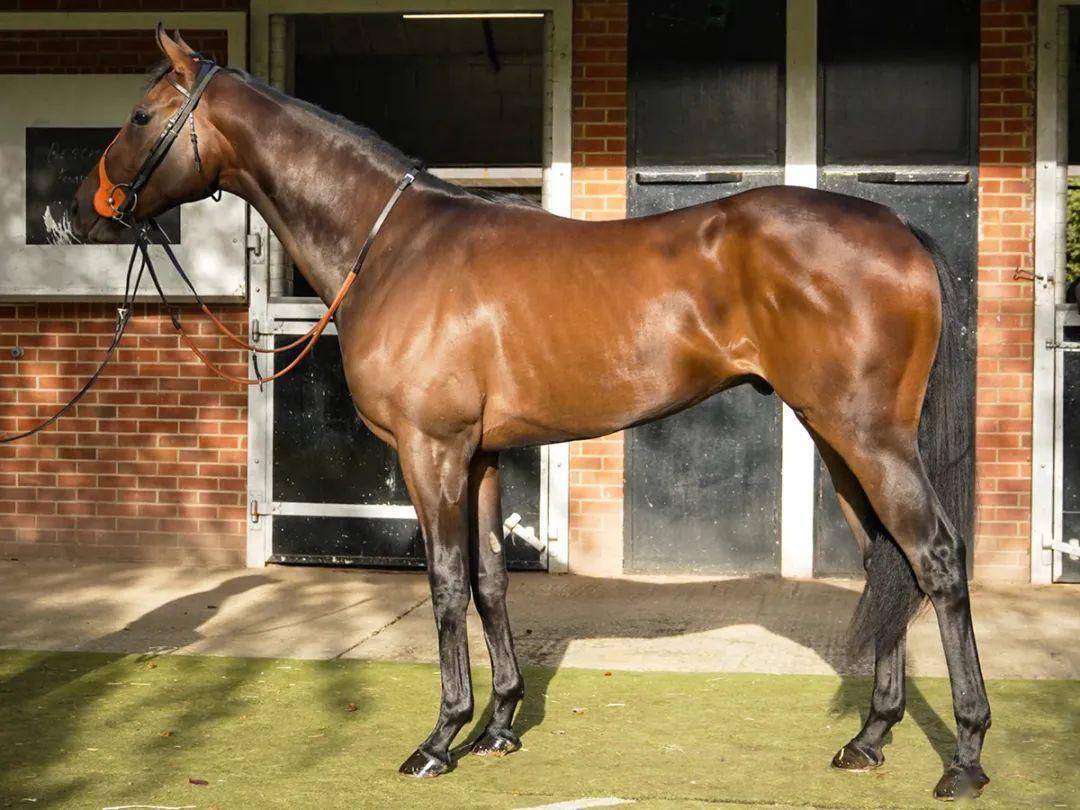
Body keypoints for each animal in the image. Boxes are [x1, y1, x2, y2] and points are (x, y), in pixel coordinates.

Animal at [70, 27, 990, 800]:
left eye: (141, 114)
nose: (83, 209)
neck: (393, 244)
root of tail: (897, 226)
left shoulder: (429, 451)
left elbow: (444, 582)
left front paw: (439, 740)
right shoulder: (476, 455)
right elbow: (489, 580)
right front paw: (499, 726)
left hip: (869, 438)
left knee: (938, 560)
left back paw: (967, 756)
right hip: (838, 439)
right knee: (888, 564)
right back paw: (870, 738)